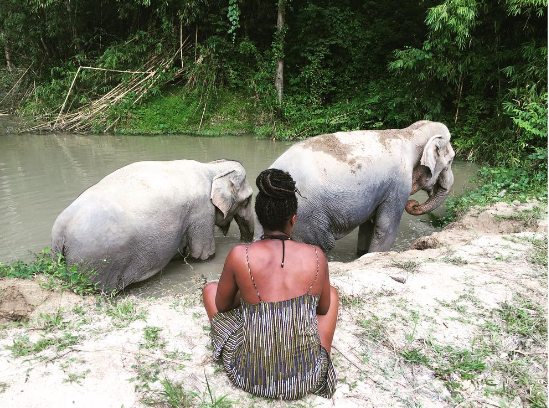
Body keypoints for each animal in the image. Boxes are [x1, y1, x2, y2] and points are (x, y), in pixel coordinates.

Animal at [51, 159, 255, 290]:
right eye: (247, 200)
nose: (246, 242)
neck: (211, 167)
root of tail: (60, 232)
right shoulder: (202, 211)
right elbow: (202, 254)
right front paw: (204, 258)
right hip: (97, 262)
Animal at [262, 121, 454, 255]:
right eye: (451, 160)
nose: (413, 204)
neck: (408, 133)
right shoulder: (398, 183)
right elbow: (385, 228)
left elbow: (369, 226)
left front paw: (361, 255)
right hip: (306, 215)